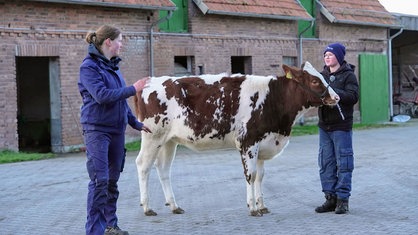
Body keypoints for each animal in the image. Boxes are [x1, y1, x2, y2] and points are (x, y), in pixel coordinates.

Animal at [136, 62, 338, 217]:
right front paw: (253, 208)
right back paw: (147, 207)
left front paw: (262, 205)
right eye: (314, 80)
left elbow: (260, 176)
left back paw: (174, 206)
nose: (336, 97)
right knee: (143, 166)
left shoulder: (262, 143)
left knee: (163, 169)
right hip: (152, 135)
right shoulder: (248, 141)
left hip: (169, 140)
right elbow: (251, 175)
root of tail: (149, 81)